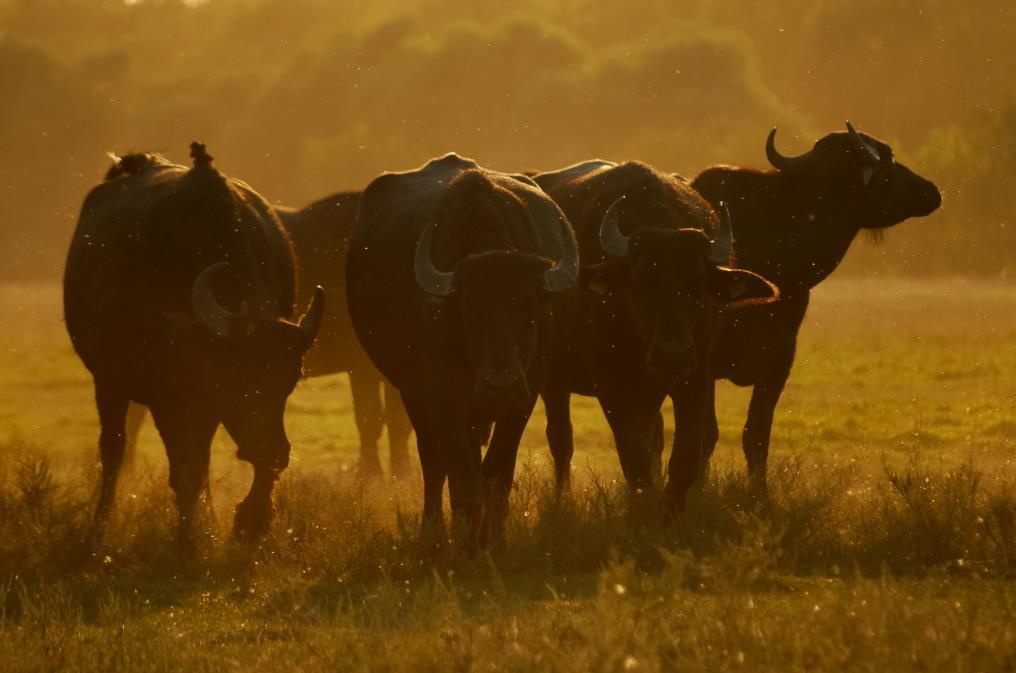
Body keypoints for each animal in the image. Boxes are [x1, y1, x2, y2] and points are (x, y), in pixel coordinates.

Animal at [64, 143, 321, 544]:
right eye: (238, 380)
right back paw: (99, 526)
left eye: (289, 383)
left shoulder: (212, 401)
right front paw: (187, 537)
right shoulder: (168, 394)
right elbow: (183, 465)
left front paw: (250, 519)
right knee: (114, 447)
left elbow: (209, 461)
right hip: (109, 382)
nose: (277, 452)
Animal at [347, 154, 581, 548]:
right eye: (470, 310)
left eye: (530, 311)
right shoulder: (442, 393)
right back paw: (432, 526)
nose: (499, 384)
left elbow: (497, 473)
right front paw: (466, 542)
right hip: (412, 392)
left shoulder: (524, 395)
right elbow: (460, 478)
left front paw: (492, 540)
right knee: (432, 461)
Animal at [532, 160, 776, 508]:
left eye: (698, 284)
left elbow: (685, 454)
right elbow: (633, 456)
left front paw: (670, 511)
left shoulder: (696, 374)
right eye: (642, 282)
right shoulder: (610, 383)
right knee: (560, 437)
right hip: (553, 378)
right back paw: (562, 499)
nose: (672, 353)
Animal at [690, 124, 942, 487]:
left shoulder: (780, 357)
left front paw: (759, 495)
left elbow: (756, 434)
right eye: (888, 161)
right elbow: (705, 434)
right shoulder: (705, 362)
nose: (931, 190)